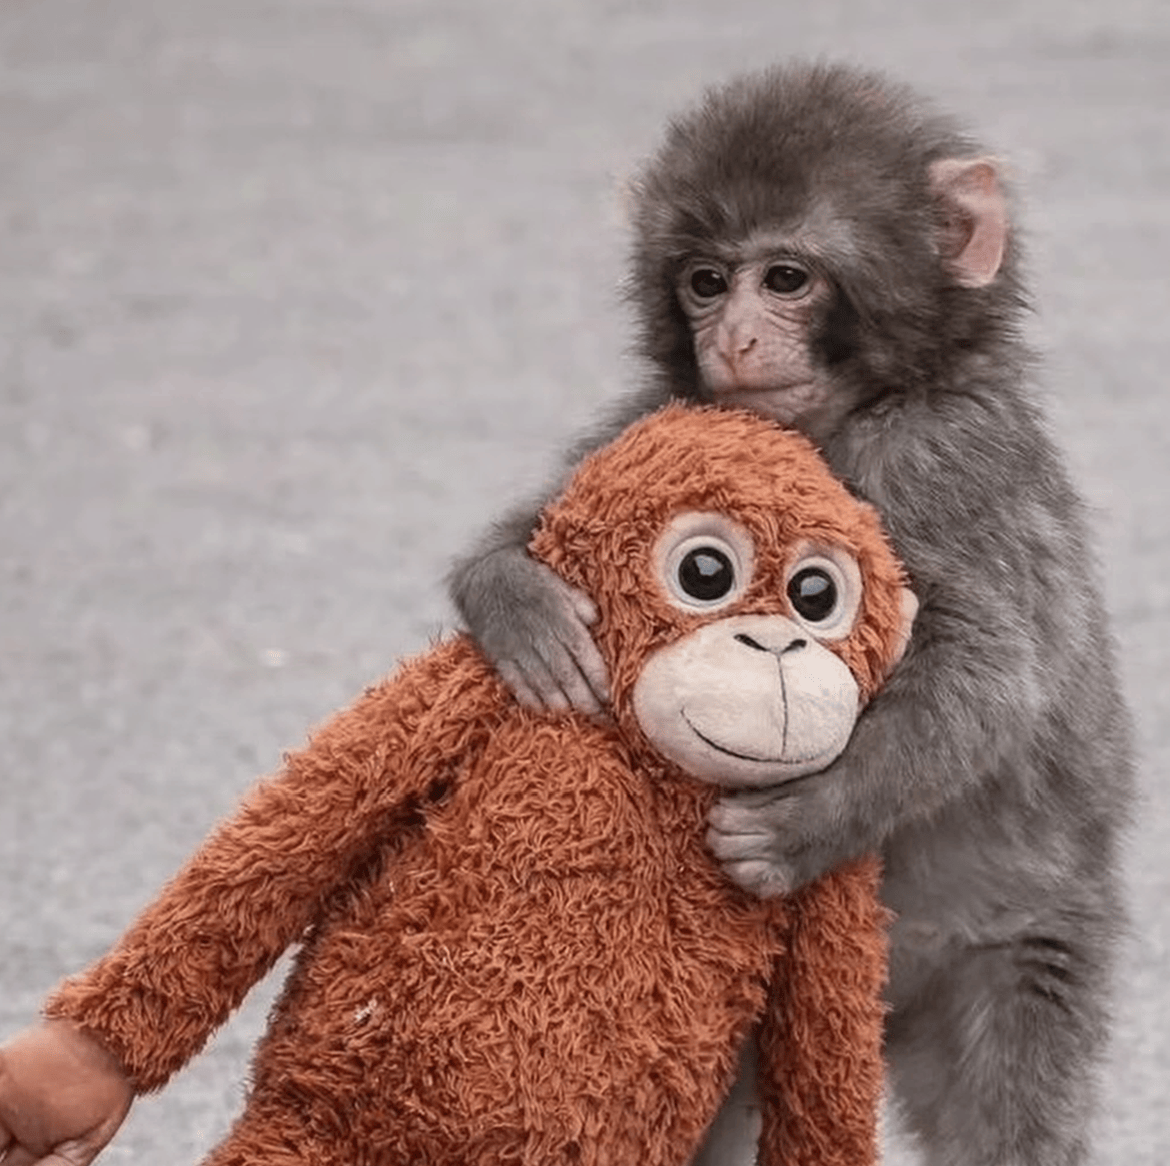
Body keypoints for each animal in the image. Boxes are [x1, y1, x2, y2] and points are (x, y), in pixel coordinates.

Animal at [448, 62, 1135, 1166]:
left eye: (785, 279)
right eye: (703, 280)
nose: (731, 337)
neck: (840, 422)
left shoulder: (946, 457)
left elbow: (989, 673)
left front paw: (812, 819)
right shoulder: (668, 421)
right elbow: (543, 528)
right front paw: (518, 606)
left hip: (1016, 942)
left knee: (1009, 1113)